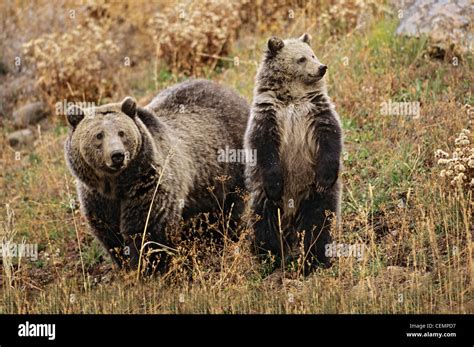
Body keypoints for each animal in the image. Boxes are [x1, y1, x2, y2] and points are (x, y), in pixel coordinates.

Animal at [66, 80, 250, 274]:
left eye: (121, 132)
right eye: (99, 135)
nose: (117, 155)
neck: (116, 184)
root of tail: (229, 90)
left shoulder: (148, 186)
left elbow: (148, 229)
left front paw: (149, 267)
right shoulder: (96, 197)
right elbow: (109, 232)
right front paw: (125, 264)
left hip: (230, 165)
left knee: (229, 207)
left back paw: (225, 236)